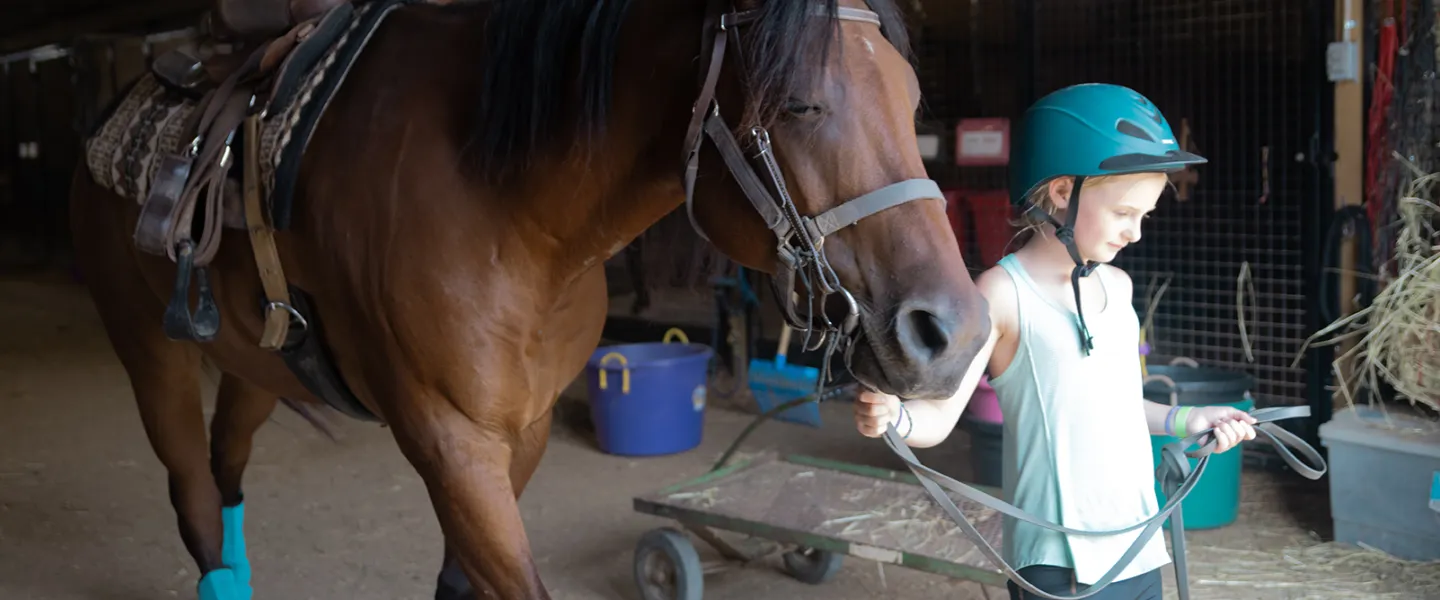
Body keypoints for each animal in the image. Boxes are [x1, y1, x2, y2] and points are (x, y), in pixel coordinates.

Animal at [66, 0, 991, 598]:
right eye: (799, 103)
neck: (507, 207)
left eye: (914, 101)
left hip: (253, 365)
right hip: (150, 354)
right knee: (192, 491)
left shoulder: (525, 429)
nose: (954, 334)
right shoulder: (449, 441)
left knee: (226, 470)